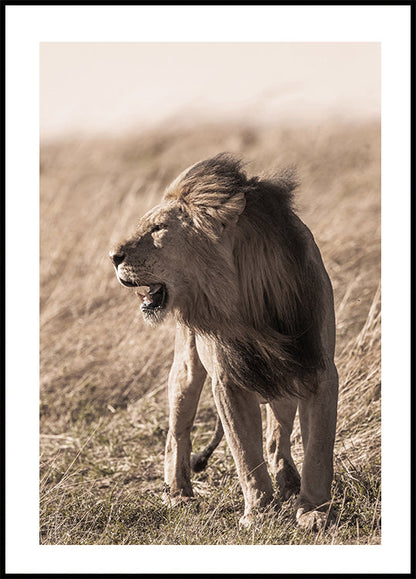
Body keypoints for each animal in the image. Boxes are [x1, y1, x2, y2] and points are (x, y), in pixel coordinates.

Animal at [110, 154, 338, 532]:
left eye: (158, 229)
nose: (112, 256)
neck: (247, 301)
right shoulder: (228, 381)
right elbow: (245, 454)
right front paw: (259, 514)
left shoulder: (316, 368)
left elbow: (318, 448)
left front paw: (313, 511)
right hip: (186, 369)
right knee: (177, 433)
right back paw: (179, 494)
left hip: (283, 380)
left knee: (276, 437)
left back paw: (289, 482)